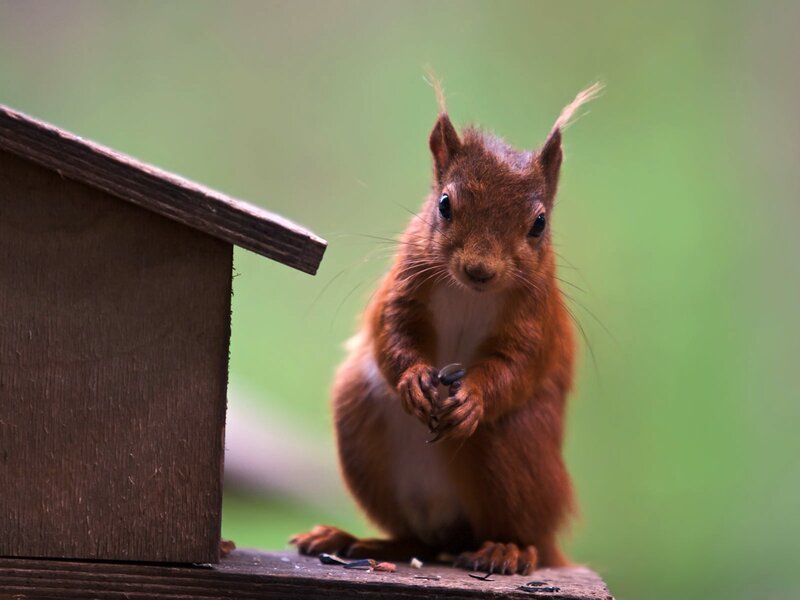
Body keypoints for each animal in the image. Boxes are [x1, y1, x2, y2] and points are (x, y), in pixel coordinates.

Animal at [291, 82, 602, 576]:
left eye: (539, 224)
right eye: (444, 205)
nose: (479, 270)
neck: (469, 292)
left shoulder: (535, 316)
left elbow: (518, 363)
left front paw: (473, 397)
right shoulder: (405, 281)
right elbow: (392, 330)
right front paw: (414, 379)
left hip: (514, 445)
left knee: (525, 537)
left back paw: (507, 550)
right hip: (360, 418)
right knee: (414, 540)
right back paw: (354, 541)